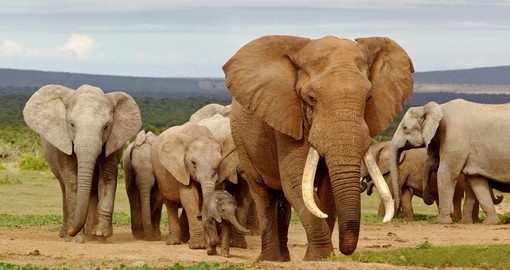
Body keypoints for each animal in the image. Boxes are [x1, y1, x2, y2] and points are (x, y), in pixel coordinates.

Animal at [22, 83, 141, 242]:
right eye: (72, 125)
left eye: (106, 127)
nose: (72, 231)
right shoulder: (64, 142)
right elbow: (73, 182)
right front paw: (75, 239)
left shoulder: (111, 143)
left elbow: (107, 178)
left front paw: (101, 235)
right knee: (64, 186)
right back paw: (66, 234)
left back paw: (91, 235)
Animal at [223, 34, 414, 260]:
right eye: (311, 98)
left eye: (368, 98)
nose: (344, 251)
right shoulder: (288, 117)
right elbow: (295, 179)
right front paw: (321, 257)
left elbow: (327, 188)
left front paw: (321, 257)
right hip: (241, 141)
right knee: (263, 193)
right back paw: (270, 259)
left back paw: (284, 259)